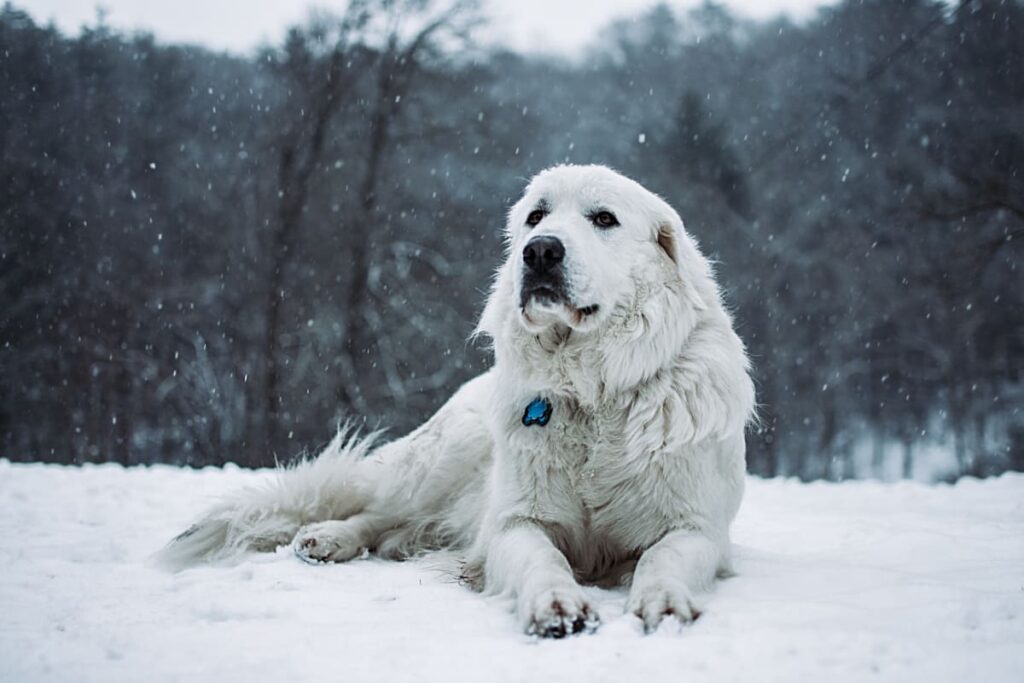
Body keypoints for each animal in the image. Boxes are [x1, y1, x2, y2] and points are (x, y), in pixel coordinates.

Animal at [155, 165, 757, 643]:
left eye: (604, 219)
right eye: (536, 217)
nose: (540, 251)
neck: (594, 390)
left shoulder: (695, 527)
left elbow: (662, 556)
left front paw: (664, 602)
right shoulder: (517, 522)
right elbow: (544, 559)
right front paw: (556, 604)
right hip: (445, 456)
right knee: (373, 509)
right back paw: (329, 537)